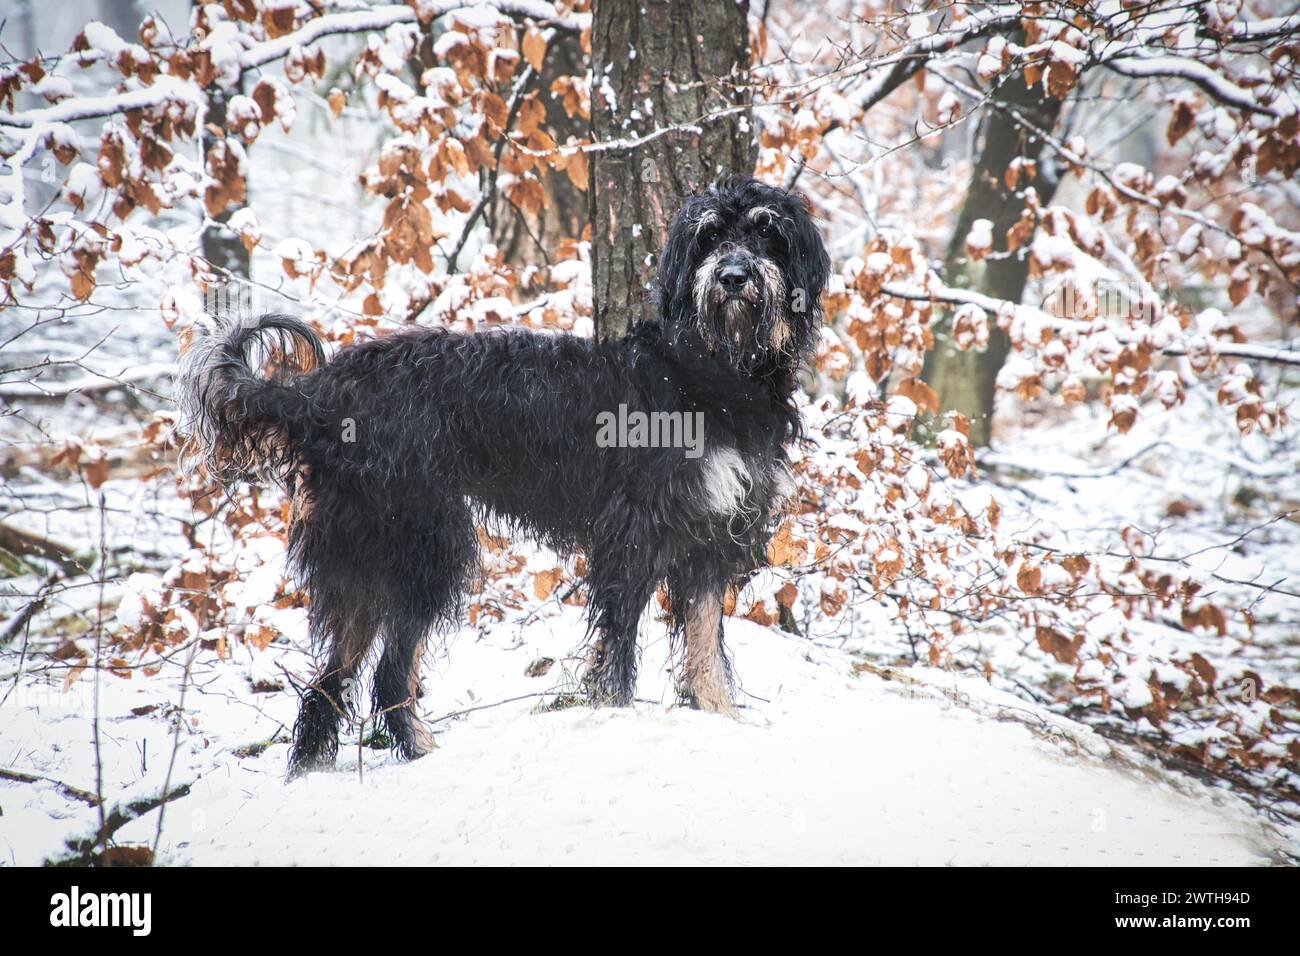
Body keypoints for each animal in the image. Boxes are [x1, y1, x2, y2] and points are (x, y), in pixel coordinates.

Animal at [178, 178, 826, 780]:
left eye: (765, 230)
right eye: (709, 237)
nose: (734, 277)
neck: (711, 372)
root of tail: (318, 393)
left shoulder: (711, 537)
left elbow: (706, 644)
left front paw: (722, 720)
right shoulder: (633, 537)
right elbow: (619, 648)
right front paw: (612, 719)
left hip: (372, 553)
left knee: (332, 676)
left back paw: (318, 765)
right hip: (424, 544)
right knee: (387, 672)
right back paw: (418, 754)